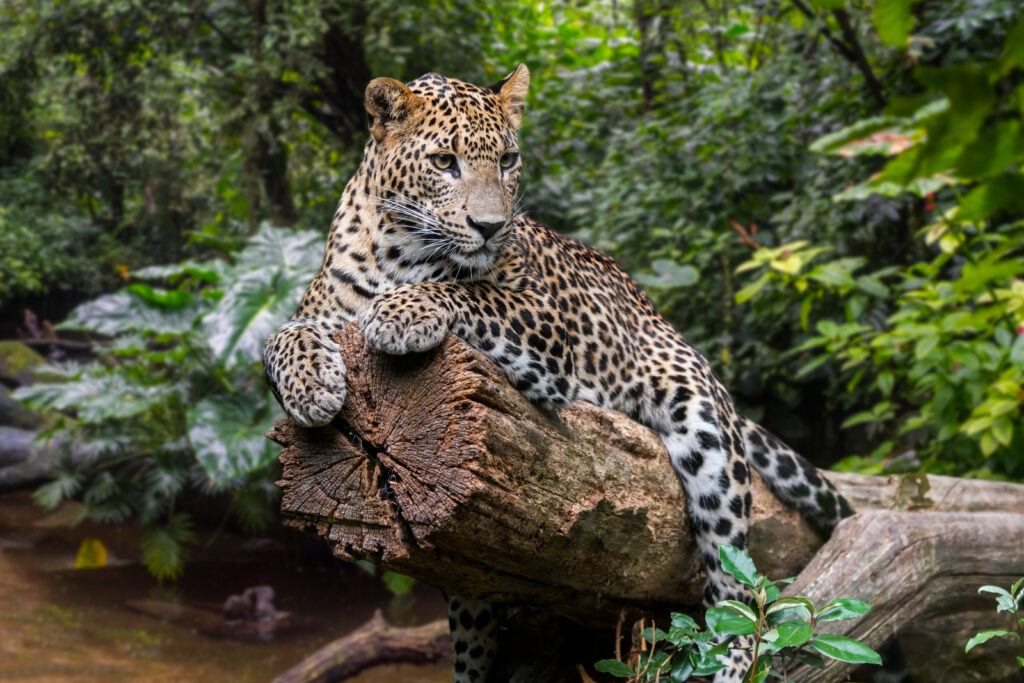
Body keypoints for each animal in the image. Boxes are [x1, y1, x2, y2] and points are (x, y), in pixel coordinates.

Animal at [262, 64, 854, 682]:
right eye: (444, 162)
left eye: (507, 160)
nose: (491, 226)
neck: (398, 253)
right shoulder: (319, 313)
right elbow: (281, 336)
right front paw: (311, 387)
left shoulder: (544, 321)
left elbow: (471, 293)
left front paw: (401, 313)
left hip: (706, 434)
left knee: (736, 595)